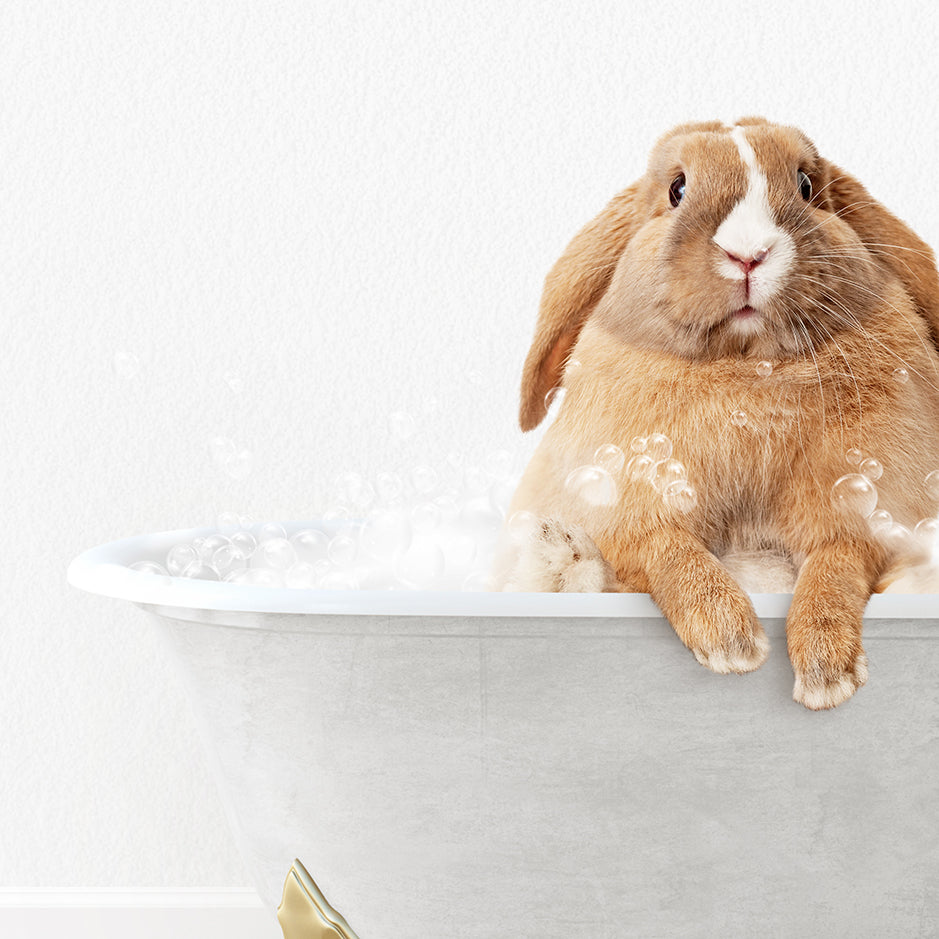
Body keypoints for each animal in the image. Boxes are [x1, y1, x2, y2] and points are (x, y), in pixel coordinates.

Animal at [504, 117, 939, 708]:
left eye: (806, 185)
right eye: (677, 189)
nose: (748, 254)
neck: (746, 369)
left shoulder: (860, 511)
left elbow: (835, 567)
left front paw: (826, 674)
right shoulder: (629, 505)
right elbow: (668, 549)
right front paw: (732, 642)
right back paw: (560, 553)